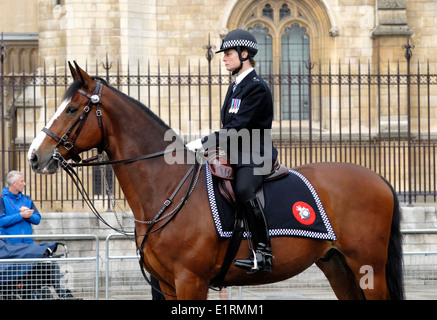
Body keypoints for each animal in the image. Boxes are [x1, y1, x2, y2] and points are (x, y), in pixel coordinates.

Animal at [27, 62, 404, 300]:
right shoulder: (167, 285)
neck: (166, 187)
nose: (34, 155)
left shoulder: (190, 281)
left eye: (72, 109)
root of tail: (379, 179)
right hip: (338, 265)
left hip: (368, 268)